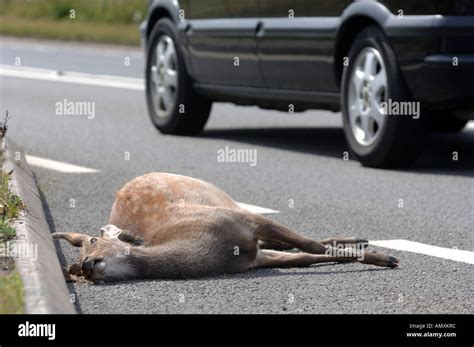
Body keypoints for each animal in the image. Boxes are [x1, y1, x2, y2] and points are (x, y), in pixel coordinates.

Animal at [52, 173, 400, 284]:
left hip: (227, 200)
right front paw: (380, 257)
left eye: (93, 240)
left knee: (300, 237)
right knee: (288, 244)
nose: (86, 265)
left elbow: (310, 247)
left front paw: (387, 258)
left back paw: (360, 239)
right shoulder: (254, 260)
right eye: (78, 272)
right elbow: (306, 257)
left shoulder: (245, 222)